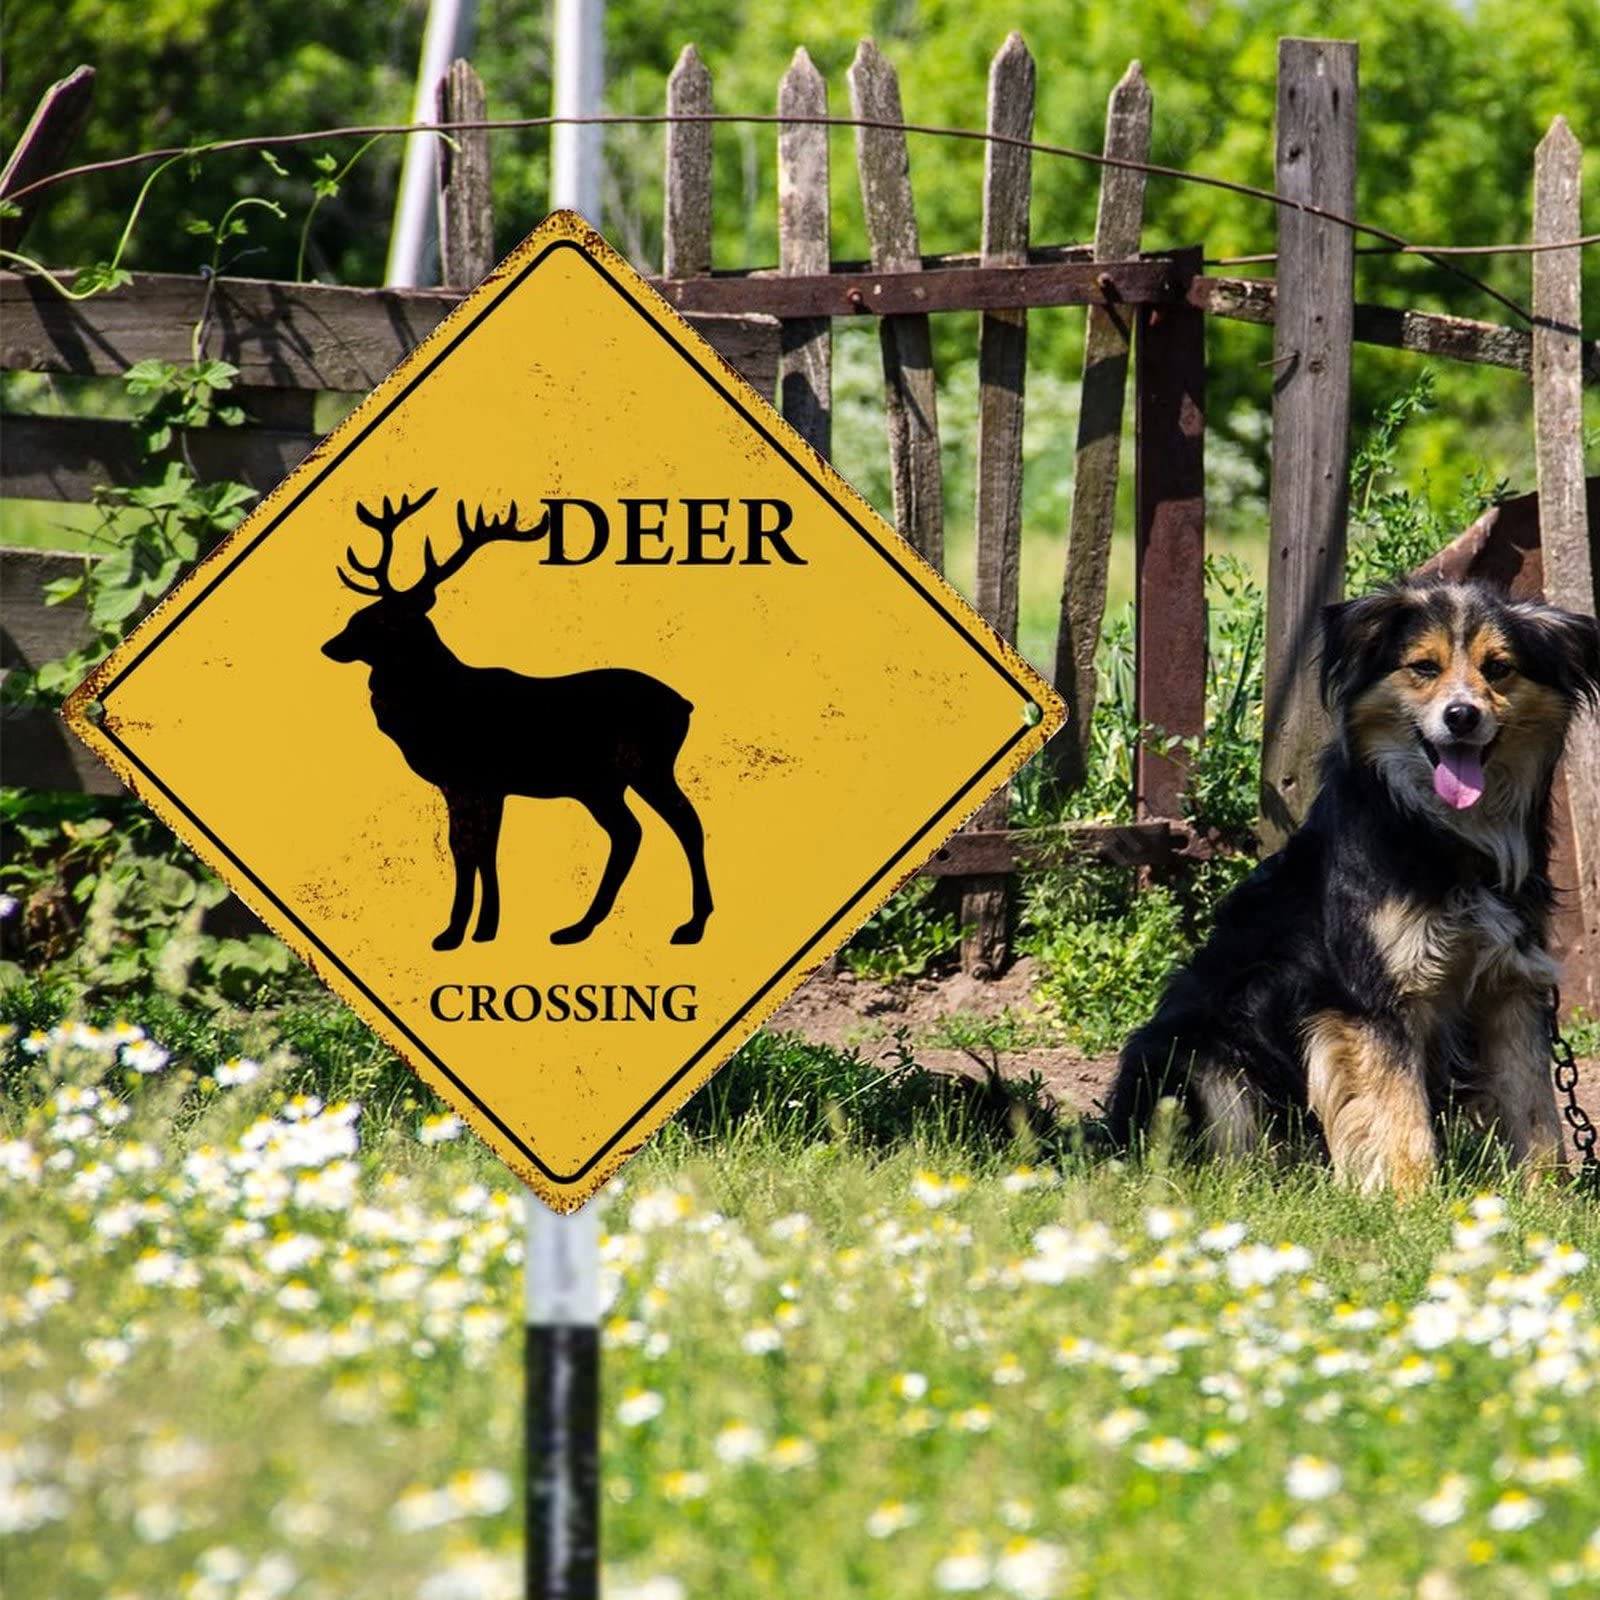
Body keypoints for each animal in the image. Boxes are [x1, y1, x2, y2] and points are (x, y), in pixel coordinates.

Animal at [321, 487, 713, 952]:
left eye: (379, 620)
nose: (329, 645)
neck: (434, 702)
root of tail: (685, 705)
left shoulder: (471, 778)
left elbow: (466, 849)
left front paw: (454, 933)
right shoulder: (483, 786)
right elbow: (482, 849)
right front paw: (484, 929)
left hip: (632, 770)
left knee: (664, 826)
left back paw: (671, 925)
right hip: (616, 780)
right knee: (649, 829)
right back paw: (598, 926)